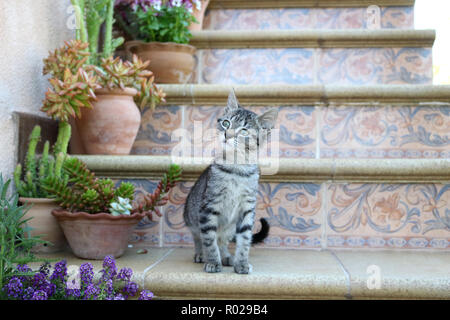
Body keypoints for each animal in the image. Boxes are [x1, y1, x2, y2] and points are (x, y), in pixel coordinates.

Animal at [184, 89, 278, 274]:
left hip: (229, 227)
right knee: (199, 236)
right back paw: (201, 254)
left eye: (244, 131)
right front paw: (213, 262)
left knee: (222, 239)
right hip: (191, 216)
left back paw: (227, 256)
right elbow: (209, 239)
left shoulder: (247, 209)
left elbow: (244, 240)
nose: (227, 134)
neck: (237, 169)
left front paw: (241, 263)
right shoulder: (208, 207)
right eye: (226, 123)